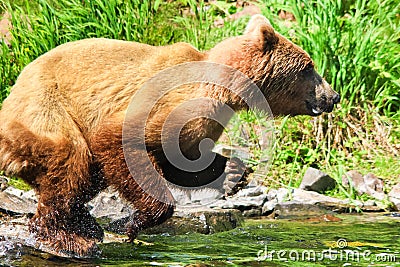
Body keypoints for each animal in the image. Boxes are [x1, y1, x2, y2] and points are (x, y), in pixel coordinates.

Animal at [0, 14, 338, 258]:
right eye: (309, 67)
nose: (333, 96)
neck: (228, 89)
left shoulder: (203, 122)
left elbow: (182, 160)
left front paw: (232, 171)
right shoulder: (173, 101)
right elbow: (119, 138)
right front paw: (130, 222)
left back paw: (85, 226)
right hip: (46, 108)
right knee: (71, 161)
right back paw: (69, 239)